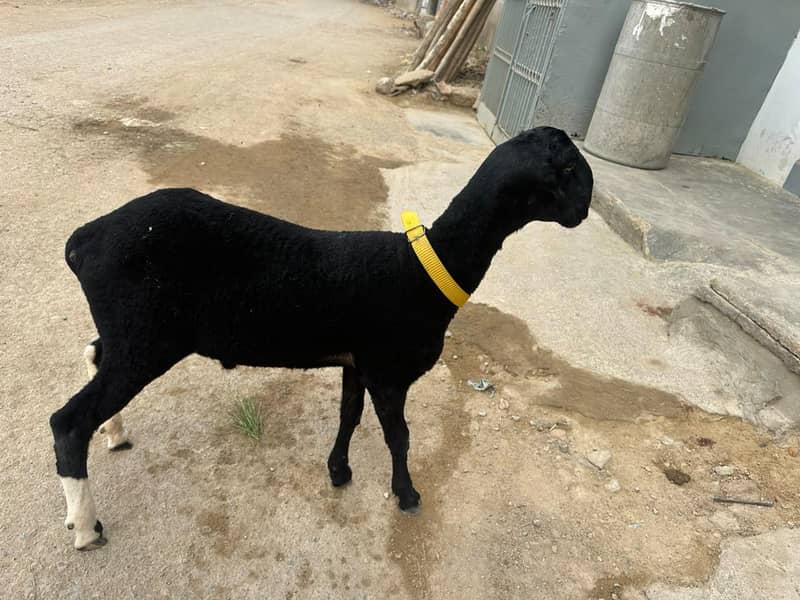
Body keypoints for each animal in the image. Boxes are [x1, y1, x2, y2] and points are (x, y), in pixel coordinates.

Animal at [51, 126, 593, 550]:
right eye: (570, 170)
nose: (584, 212)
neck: (426, 268)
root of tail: (83, 240)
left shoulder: (358, 362)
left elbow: (349, 416)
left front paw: (338, 470)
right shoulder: (388, 369)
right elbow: (400, 436)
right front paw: (407, 495)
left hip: (131, 331)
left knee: (94, 355)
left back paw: (115, 435)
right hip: (147, 336)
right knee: (68, 420)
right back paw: (86, 526)